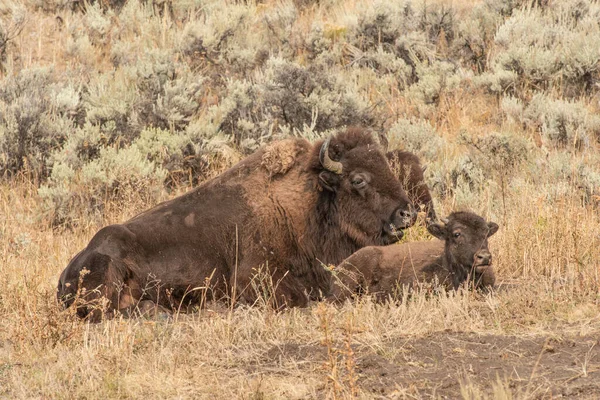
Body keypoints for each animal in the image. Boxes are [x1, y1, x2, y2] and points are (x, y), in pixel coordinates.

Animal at [59, 128, 418, 318]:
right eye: (358, 179)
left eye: (387, 166)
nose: (407, 213)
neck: (307, 202)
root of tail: (65, 274)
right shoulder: (253, 279)